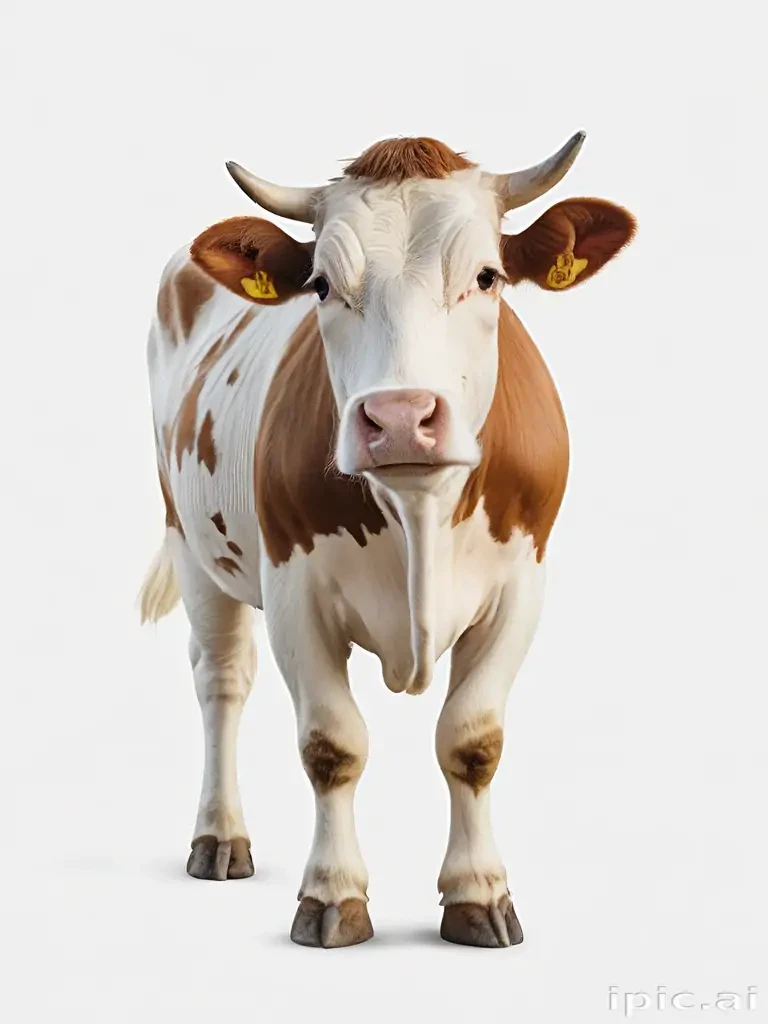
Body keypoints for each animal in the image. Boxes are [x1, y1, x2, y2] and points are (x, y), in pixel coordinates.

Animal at [140, 133, 635, 948]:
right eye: (319, 286)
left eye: (487, 276)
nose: (400, 417)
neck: (418, 518)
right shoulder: (293, 592)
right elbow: (332, 746)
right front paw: (333, 896)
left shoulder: (521, 587)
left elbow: (472, 740)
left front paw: (478, 895)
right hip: (193, 546)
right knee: (221, 680)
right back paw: (219, 837)